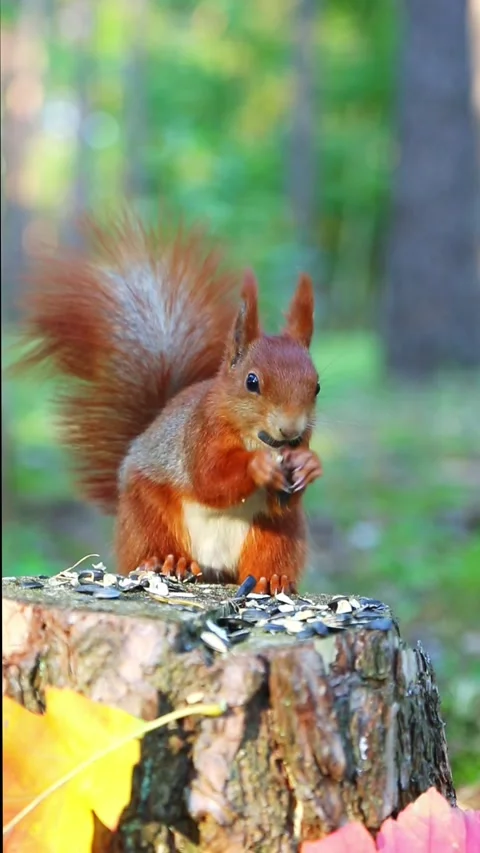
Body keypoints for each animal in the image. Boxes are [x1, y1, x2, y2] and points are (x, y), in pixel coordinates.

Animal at [15, 213, 322, 594]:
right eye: (252, 382)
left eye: (317, 387)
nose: (290, 428)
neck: (258, 439)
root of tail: (214, 571)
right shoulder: (200, 433)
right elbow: (210, 479)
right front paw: (258, 466)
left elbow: (286, 497)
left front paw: (309, 465)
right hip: (148, 514)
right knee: (154, 543)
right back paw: (170, 561)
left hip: (279, 533)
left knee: (269, 553)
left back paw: (271, 579)